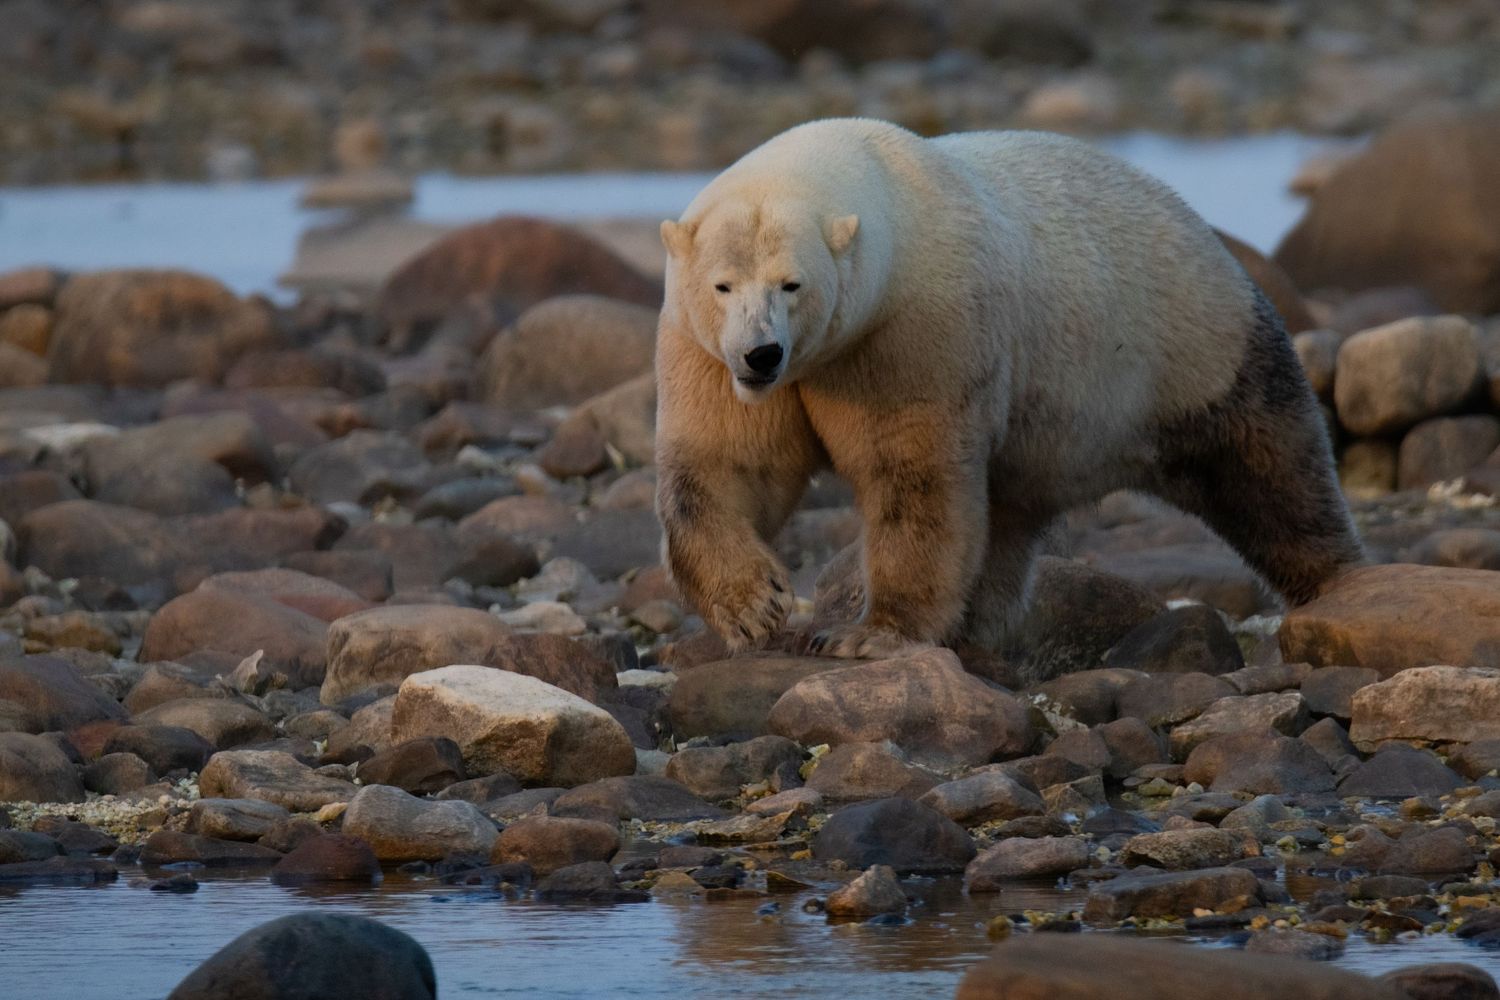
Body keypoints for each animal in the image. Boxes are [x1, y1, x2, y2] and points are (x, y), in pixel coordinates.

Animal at [654, 118, 1363, 660]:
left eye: (791, 283)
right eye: (723, 284)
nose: (761, 353)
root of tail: (1214, 240)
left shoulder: (915, 334)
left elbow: (912, 479)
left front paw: (870, 635)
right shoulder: (705, 351)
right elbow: (730, 466)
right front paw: (753, 606)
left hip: (1199, 350)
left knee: (1271, 474)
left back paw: (1339, 584)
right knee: (1008, 520)